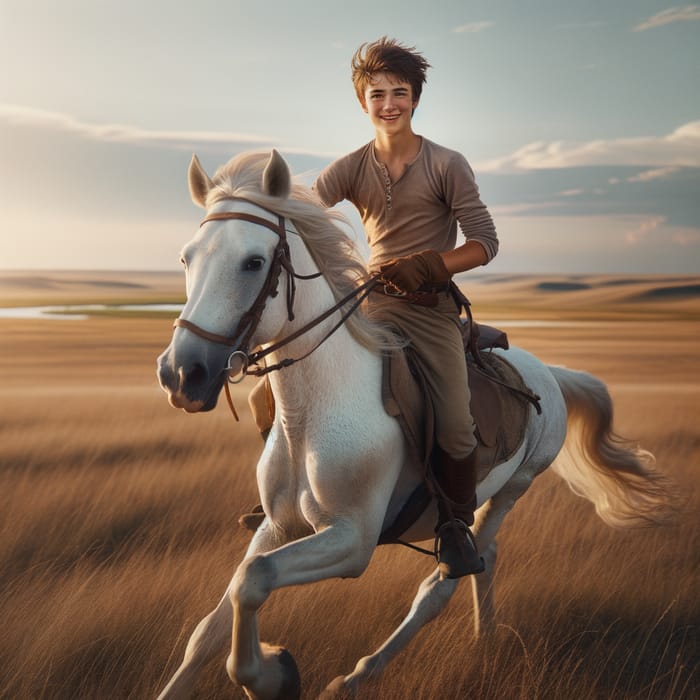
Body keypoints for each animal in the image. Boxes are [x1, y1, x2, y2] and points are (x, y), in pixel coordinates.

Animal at [157, 150, 672, 696]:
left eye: (254, 262)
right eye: (187, 259)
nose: (181, 373)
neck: (312, 413)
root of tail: (547, 373)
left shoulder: (352, 540)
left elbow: (254, 581)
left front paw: (272, 674)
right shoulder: (277, 526)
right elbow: (214, 621)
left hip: (512, 490)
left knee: (446, 581)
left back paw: (356, 677)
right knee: (486, 562)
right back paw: (484, 640)